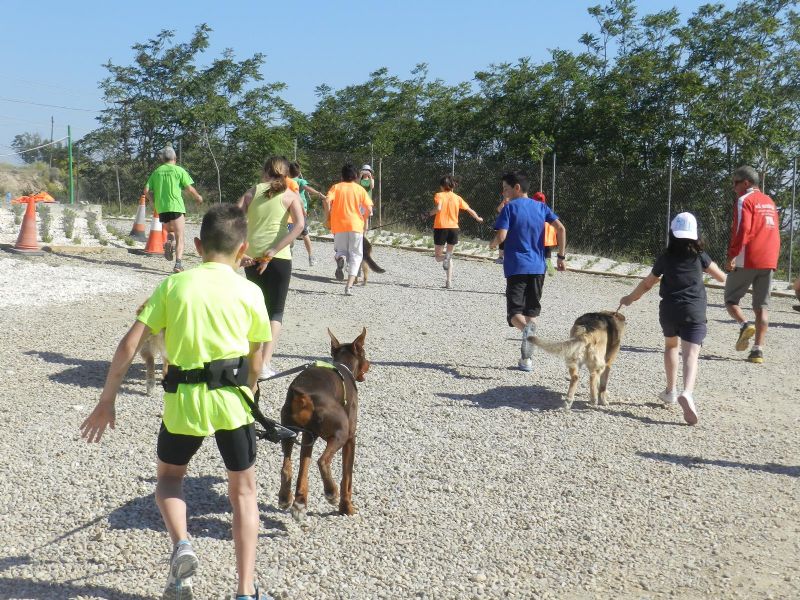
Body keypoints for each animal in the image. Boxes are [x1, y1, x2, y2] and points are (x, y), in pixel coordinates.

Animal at [278, 328, 368, 520]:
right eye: (364, 353)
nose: (369, 364)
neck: (343, 366)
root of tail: (302, 394)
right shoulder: (351, 438)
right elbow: (347, 479)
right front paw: (346, 507)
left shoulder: (308, 436)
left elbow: (303, 470)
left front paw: (300, 502)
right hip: (340, 433)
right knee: (323, 461)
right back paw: (331, 492)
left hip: (288, 432)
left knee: (286, 467)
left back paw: (286, 498)